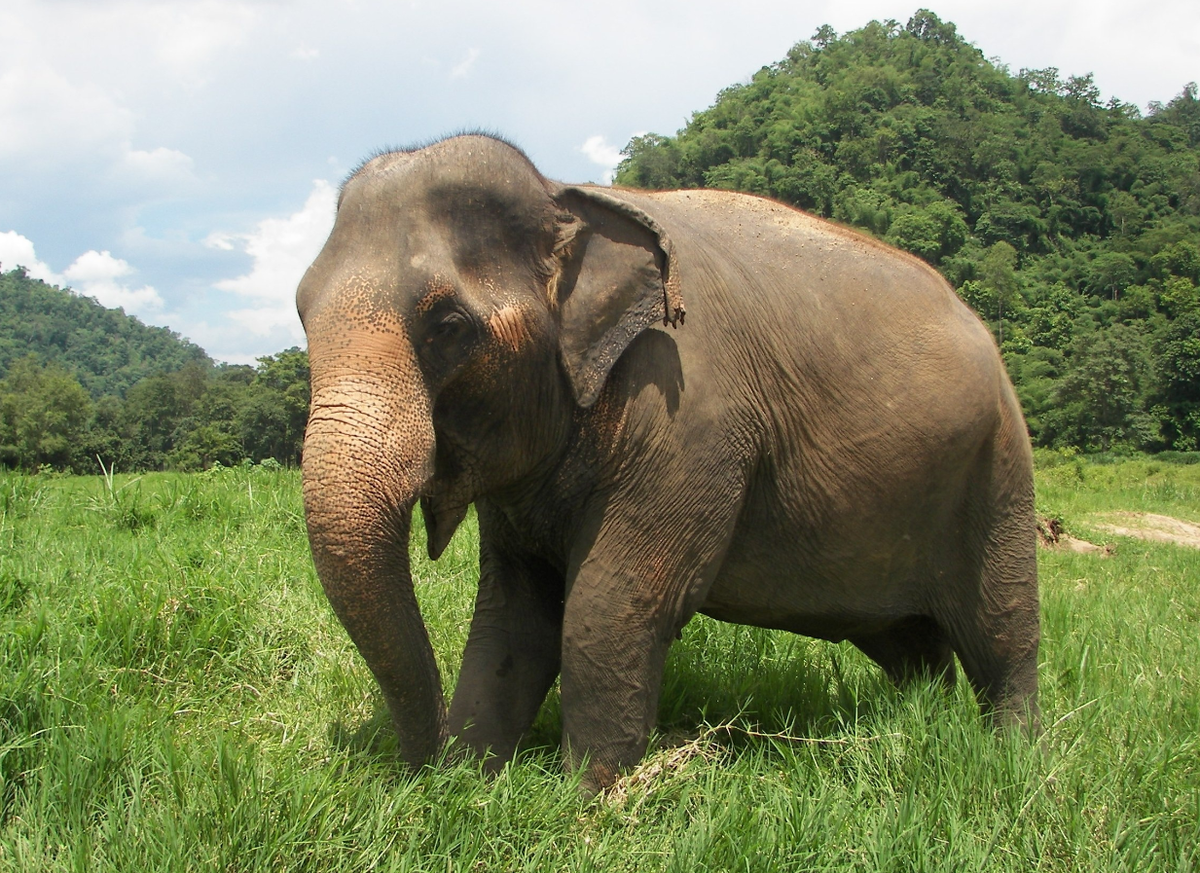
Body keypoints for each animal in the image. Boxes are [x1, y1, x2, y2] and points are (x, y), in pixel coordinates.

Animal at [295, 131, 1036, 791]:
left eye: (449, 326)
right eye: (301, 315)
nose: (414, 774)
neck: (564, 194)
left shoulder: (691, 419)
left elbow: (611, 604)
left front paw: (583, 802)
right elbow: (514, 615)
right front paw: (470, 783)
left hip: (999, 465)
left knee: (1003, 628)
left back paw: (1013, 755)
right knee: (910, 642)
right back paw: (919, 725)